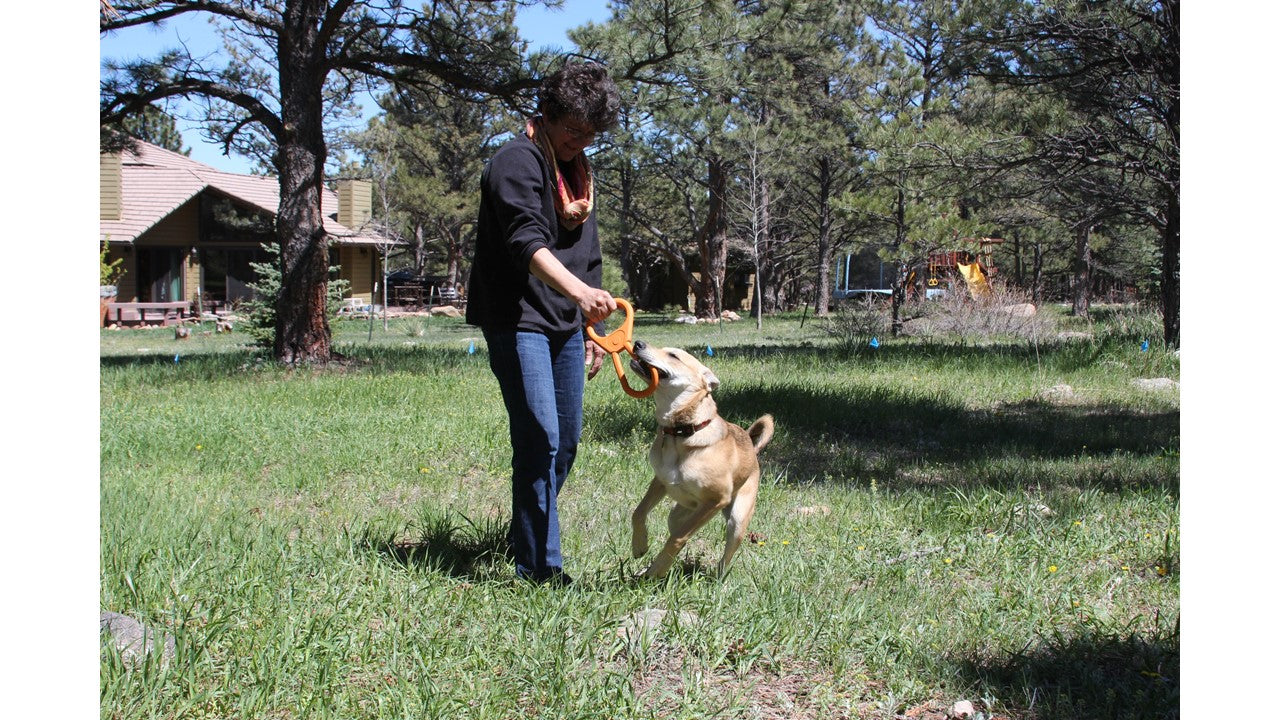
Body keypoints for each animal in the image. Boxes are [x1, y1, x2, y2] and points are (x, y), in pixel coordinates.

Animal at [627, 338, 773, 576]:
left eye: (674, 356)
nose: (637, 343)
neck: (681, 433)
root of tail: (752, 447)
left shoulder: (716, 500)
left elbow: (677, 539)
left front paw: (658, 568)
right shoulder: (660, 481)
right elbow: (638, 513)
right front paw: (640, 545)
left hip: (737, 521)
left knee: (724, 554)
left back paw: (717, 577)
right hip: (678, 514)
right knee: (676, 528)